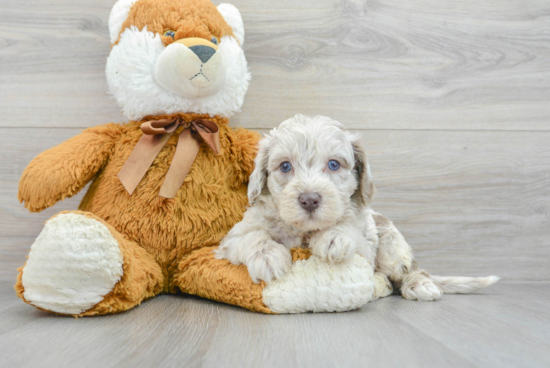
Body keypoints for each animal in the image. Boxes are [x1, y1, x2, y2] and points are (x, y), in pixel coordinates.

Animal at [217, 115, 500, 302]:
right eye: (285, 166)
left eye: (334, 164)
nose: (309, 199)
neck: (306, 232)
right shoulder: (233, 237)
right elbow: (253, 236)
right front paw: (268, 257)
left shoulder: (367, 239)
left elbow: (352, 226)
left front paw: (334, 236)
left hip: (393, 247)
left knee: (406, 271)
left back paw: (417, 285)